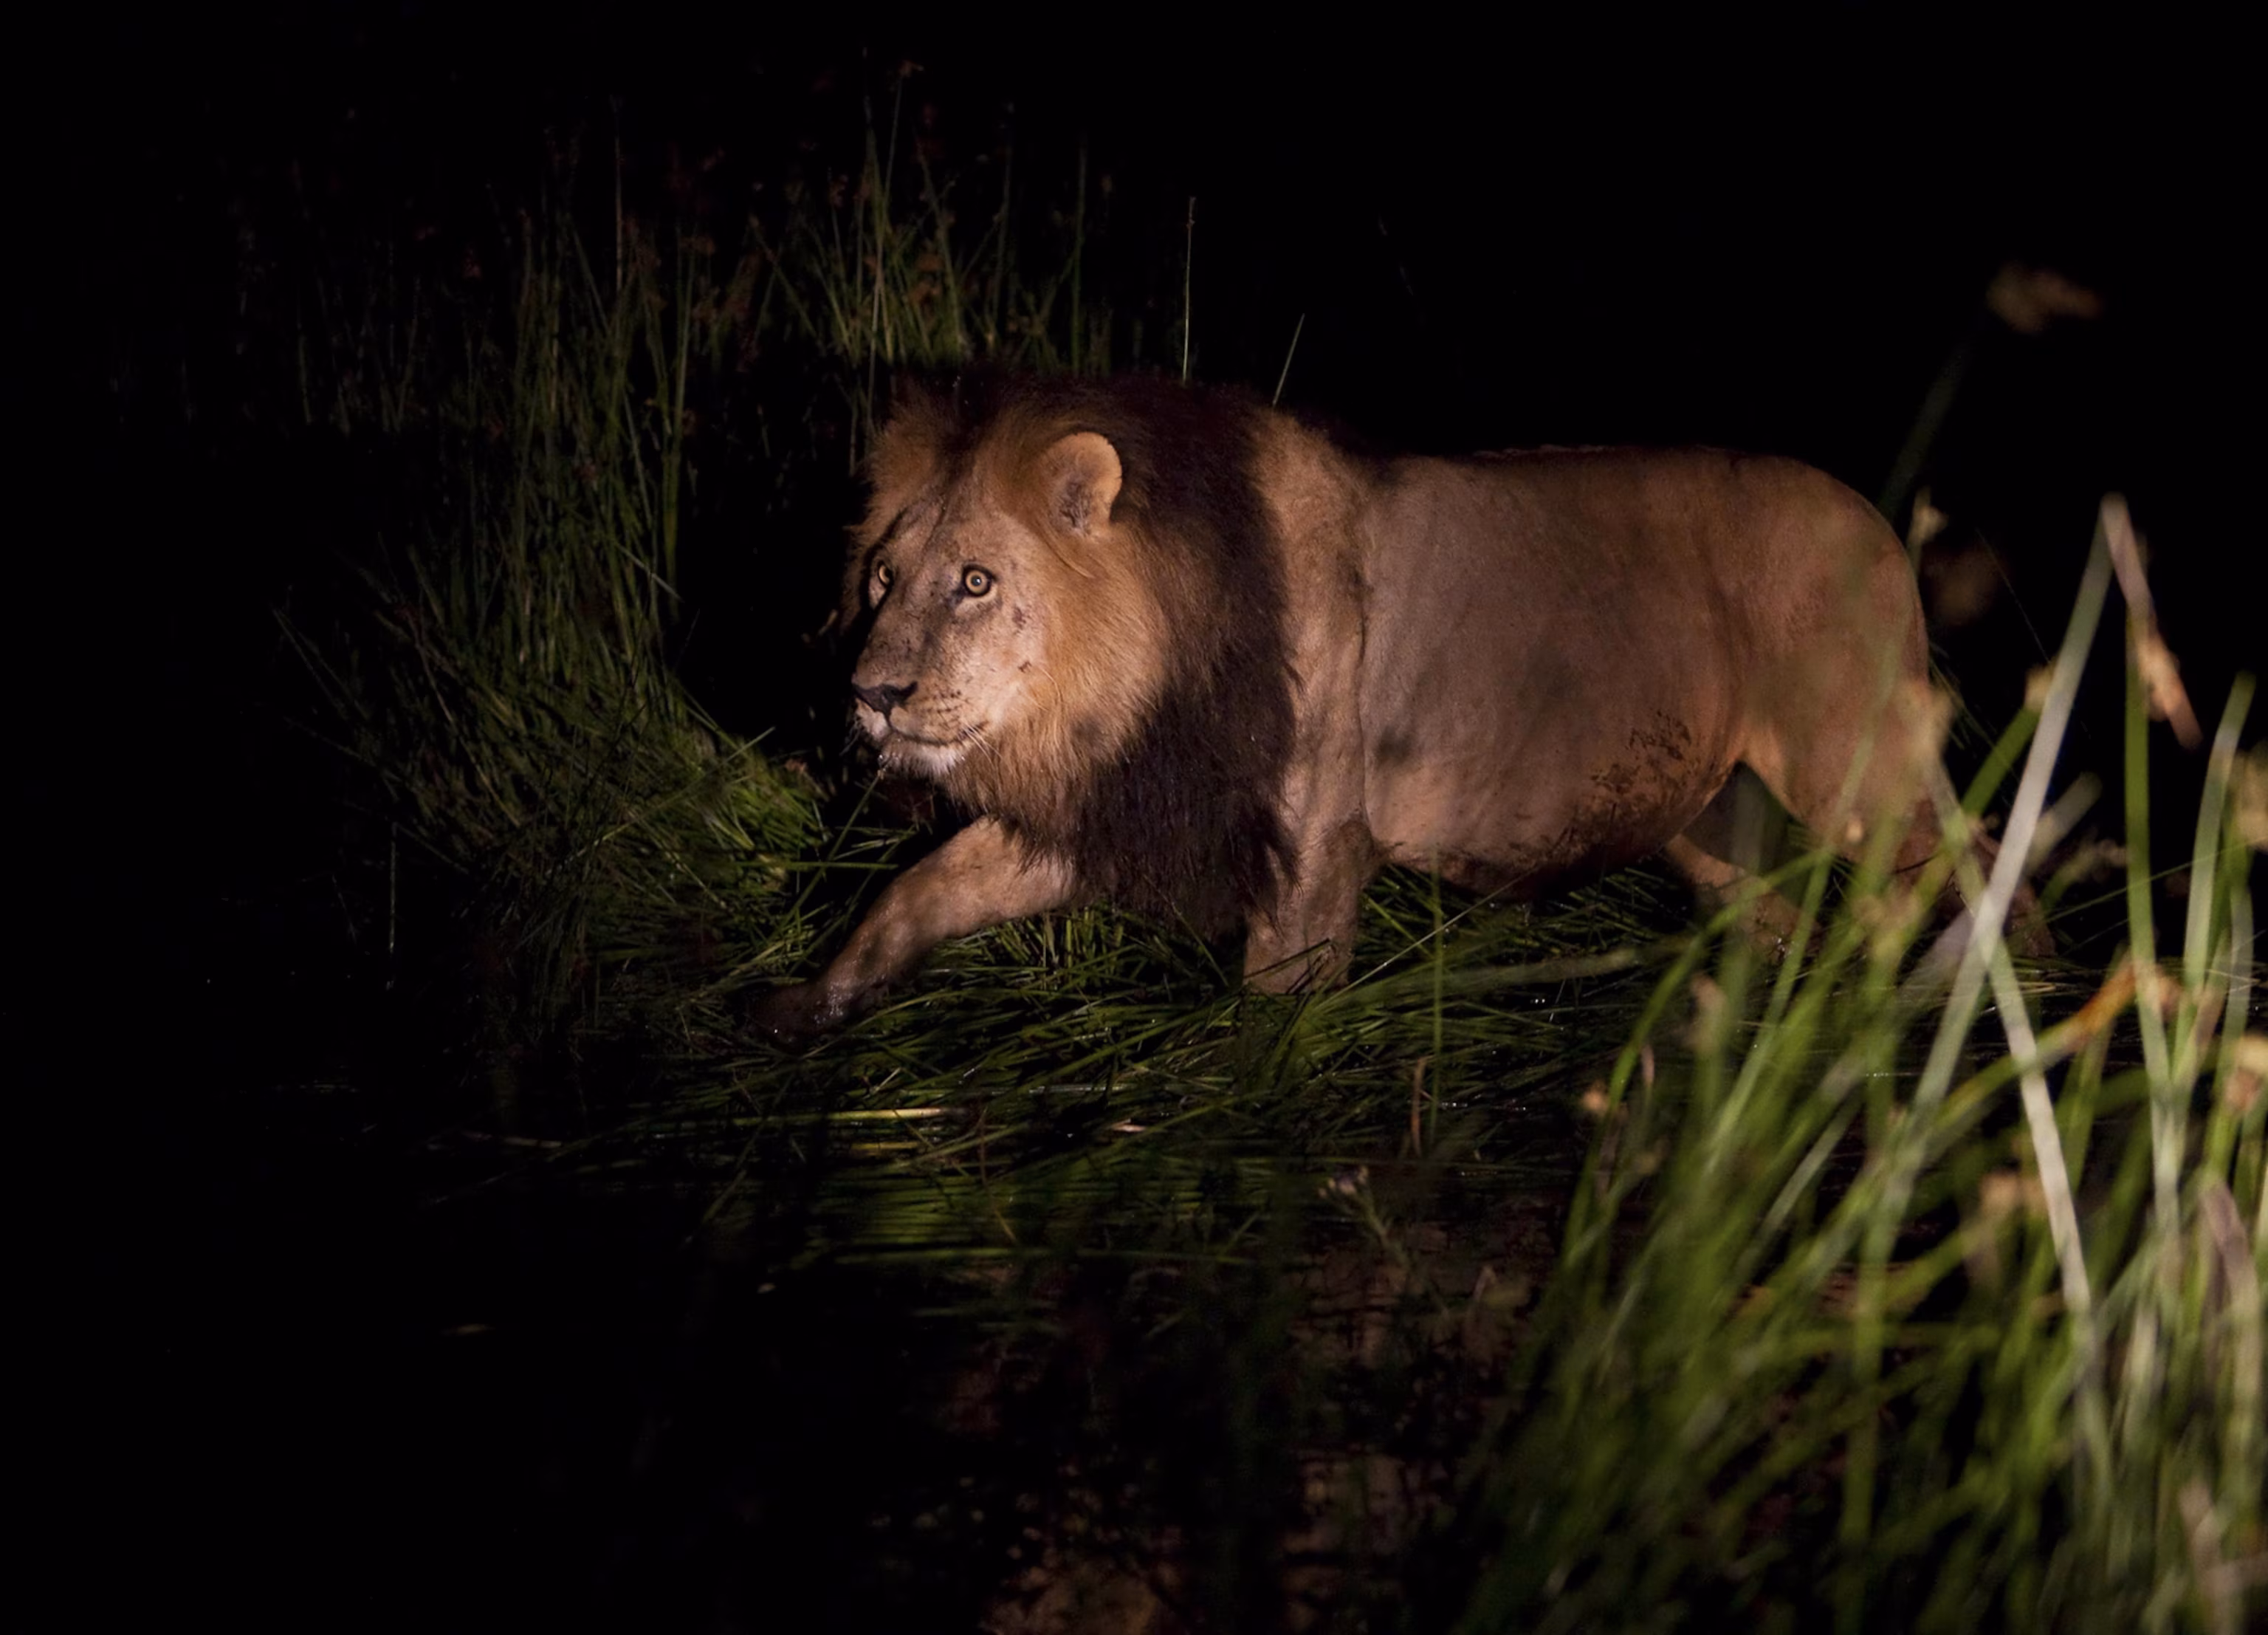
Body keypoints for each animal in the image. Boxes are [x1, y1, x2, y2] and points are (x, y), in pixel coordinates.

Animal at [756, 374, 2046, 1036]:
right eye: (884, 579)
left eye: (977, 582)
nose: (870, 694)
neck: (1129, 685)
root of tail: (1881, 523)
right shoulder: (1123, 802)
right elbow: (924, 887)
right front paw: (810, 1004)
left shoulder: (1316, 844)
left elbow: (1272, 1014)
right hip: (1715, 823)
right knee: (1781, 911)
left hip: (1855, 763)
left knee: (1980, 856)